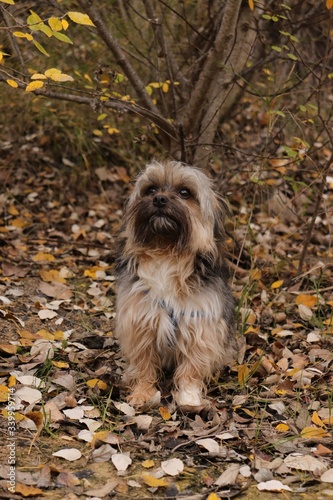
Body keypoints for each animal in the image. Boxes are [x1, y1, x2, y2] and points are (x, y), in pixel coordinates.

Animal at [115, 160, 235, 410]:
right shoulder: (140, 323)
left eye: (185, 193)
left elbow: (192, 367)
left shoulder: (199, 327)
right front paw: (142, 393)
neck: (166, 253)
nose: (159, 199)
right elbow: (144, 365)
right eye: (151, 189)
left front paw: (189, 397)